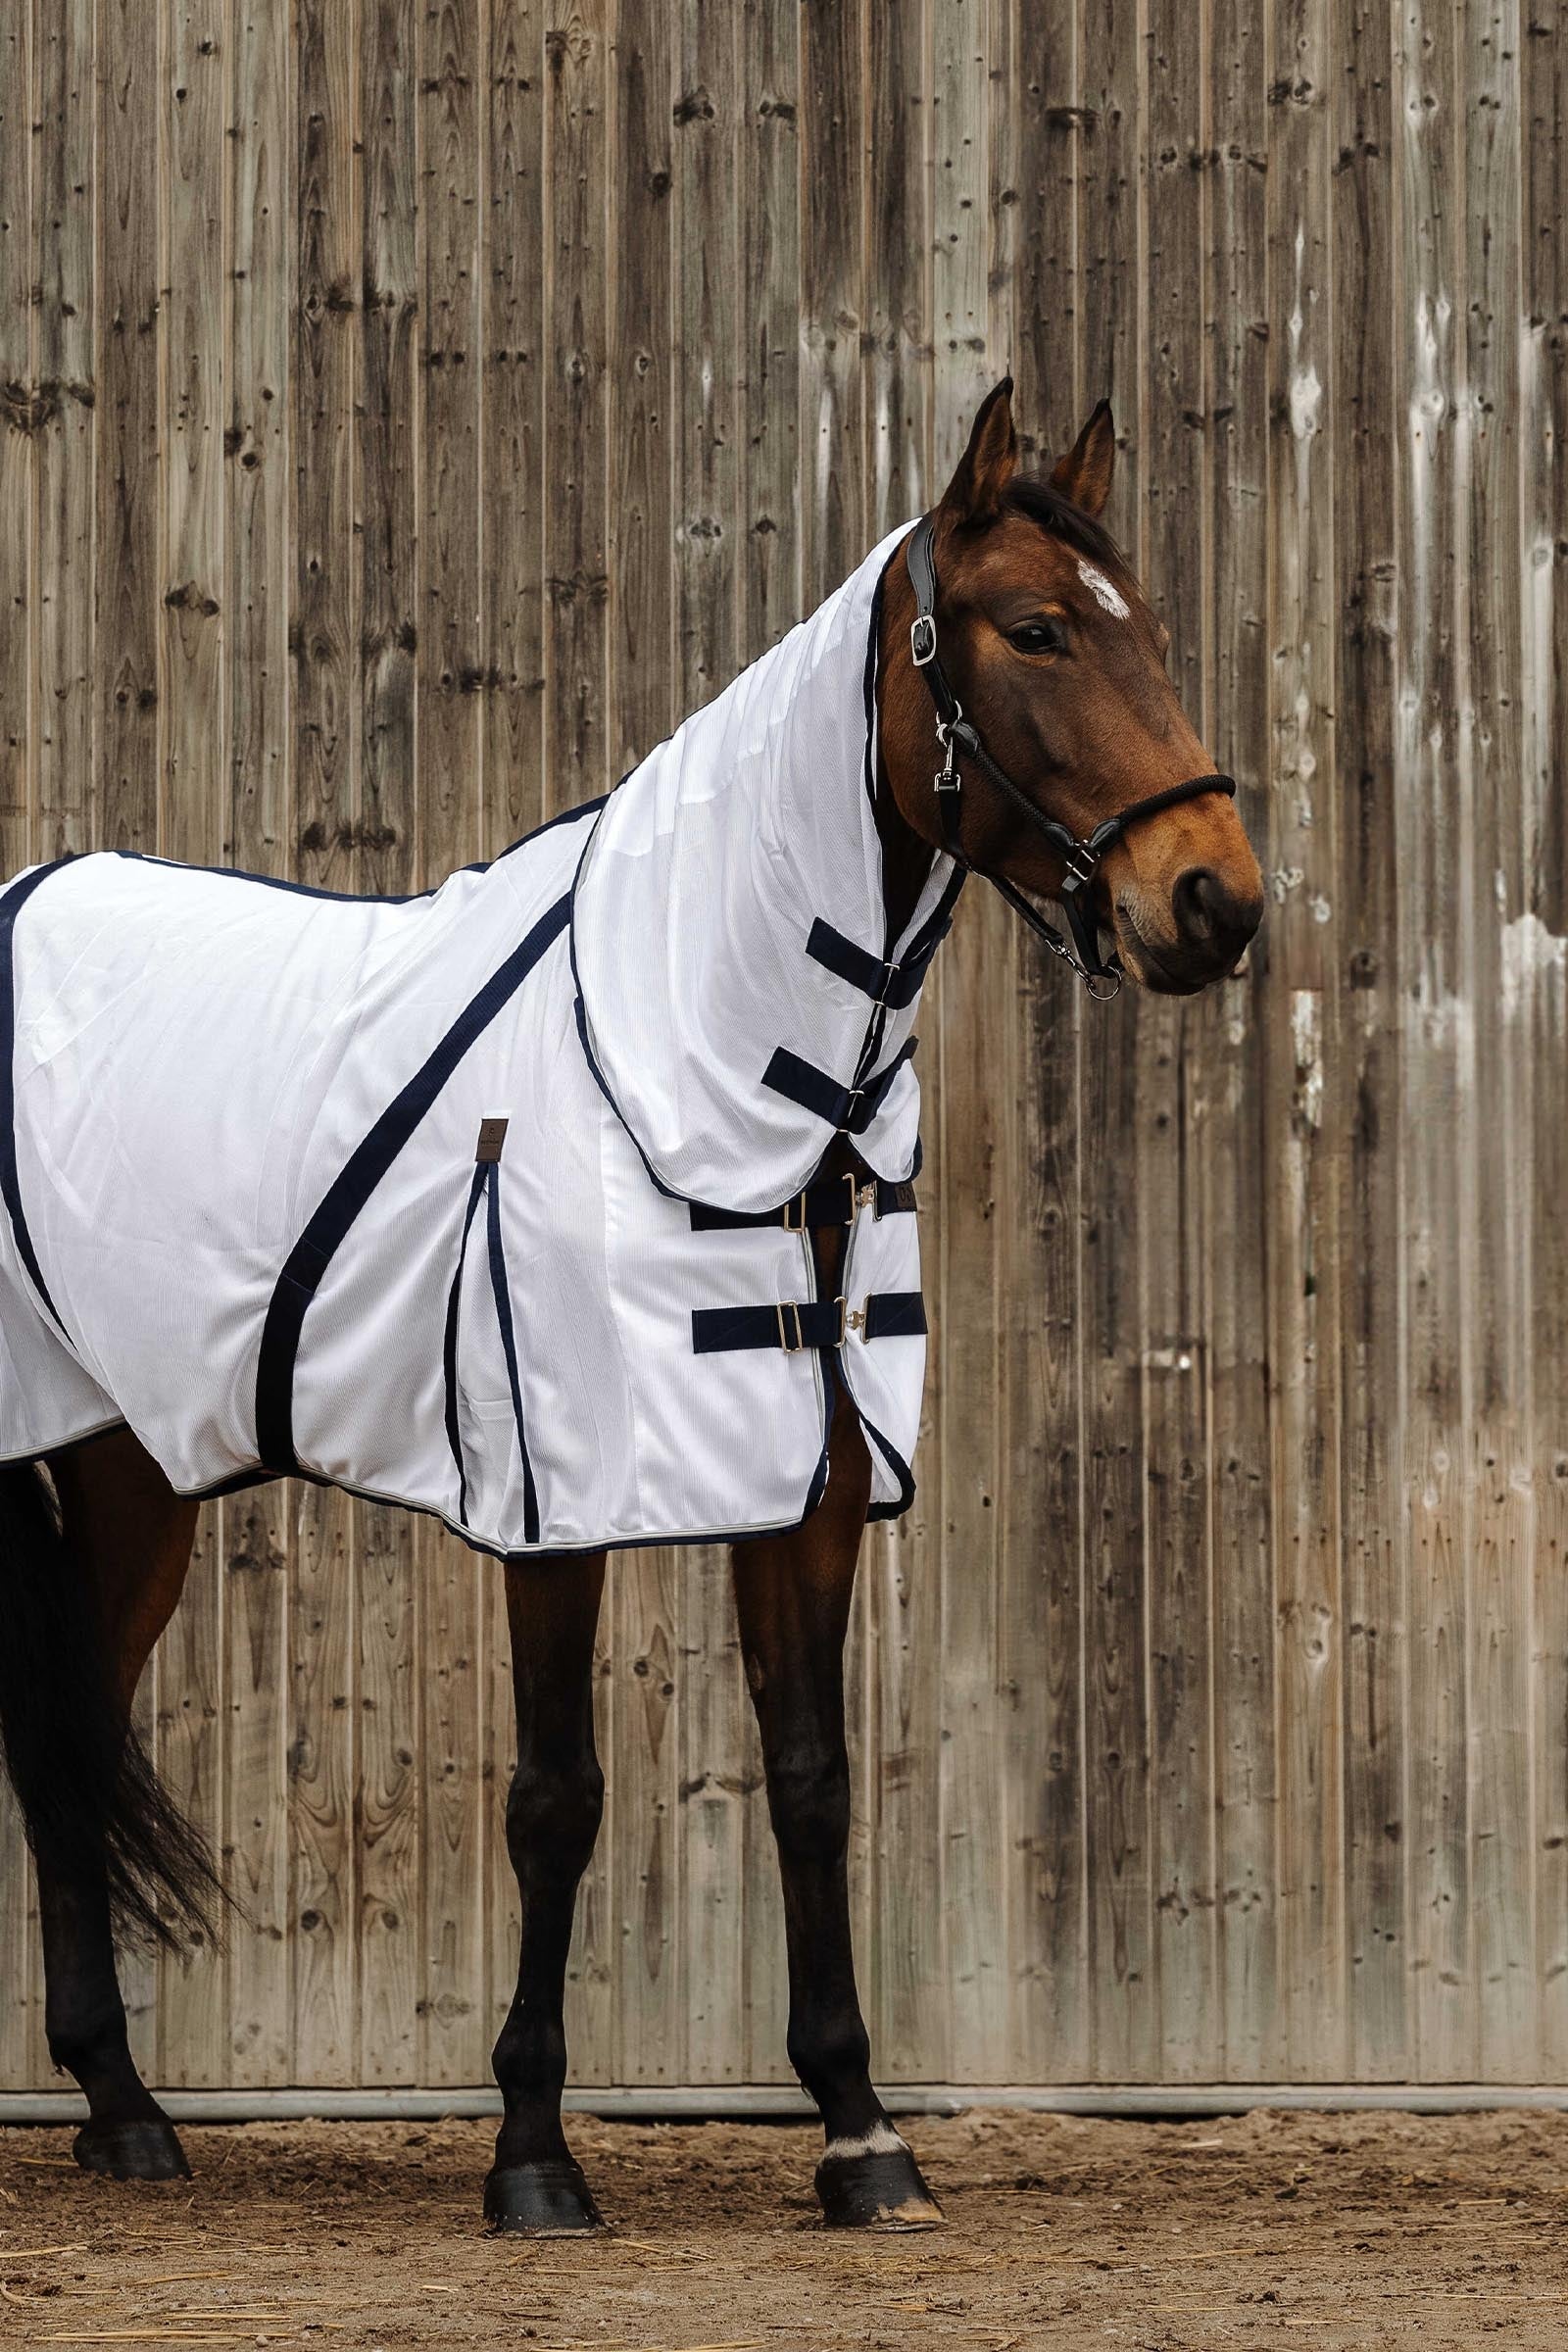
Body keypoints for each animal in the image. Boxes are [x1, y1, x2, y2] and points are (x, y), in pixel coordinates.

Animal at [0, 379, 1263, 2234]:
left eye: (1153, 629)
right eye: (1035, 629)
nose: (1217, 903)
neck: (695, 1062)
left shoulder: (811, 1486)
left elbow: (810, 1784)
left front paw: (860, 2134)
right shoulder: (558, 1500)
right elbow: (558, 1798)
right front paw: (534, 2151)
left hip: (129, 1465)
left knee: (63, 1733)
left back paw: (122, 2110)